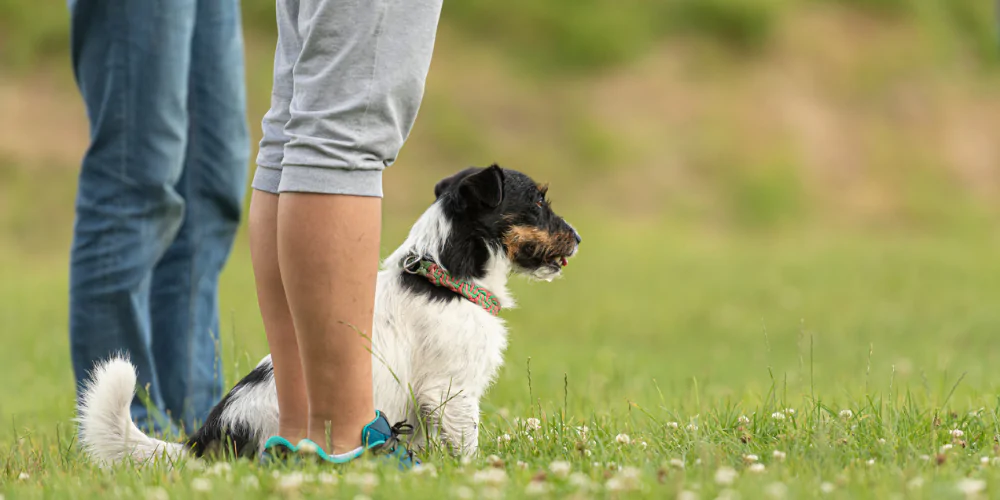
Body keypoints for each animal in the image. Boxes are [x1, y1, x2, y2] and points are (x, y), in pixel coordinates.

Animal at [78, 166, 584, 466]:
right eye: (538, 201)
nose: (578, 237)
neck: (444, 275)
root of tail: (205, 439)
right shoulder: (450, 392)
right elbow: (465, 446)